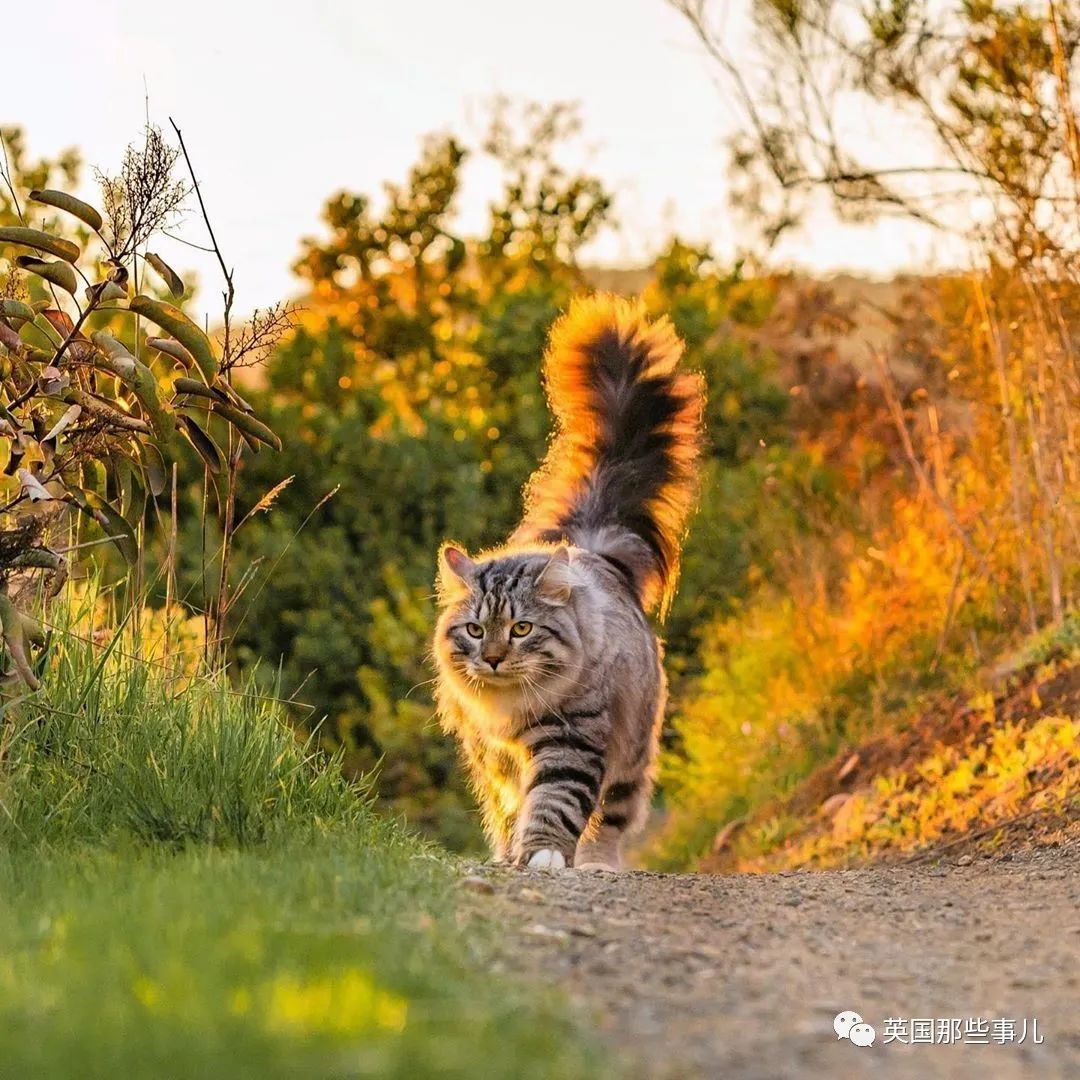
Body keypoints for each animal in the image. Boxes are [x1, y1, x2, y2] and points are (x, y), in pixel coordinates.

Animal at [434, 293, 704, 868]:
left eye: (521, 629)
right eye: (475, 630)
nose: (493, 658)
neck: (509, 710)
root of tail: (593, 546)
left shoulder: (571, 738)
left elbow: (555, 802)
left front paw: (542, 855)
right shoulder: (492, 757)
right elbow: (511, 809)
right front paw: (511, 853)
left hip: (633, 746)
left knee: (616, 814)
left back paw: (600, 862)